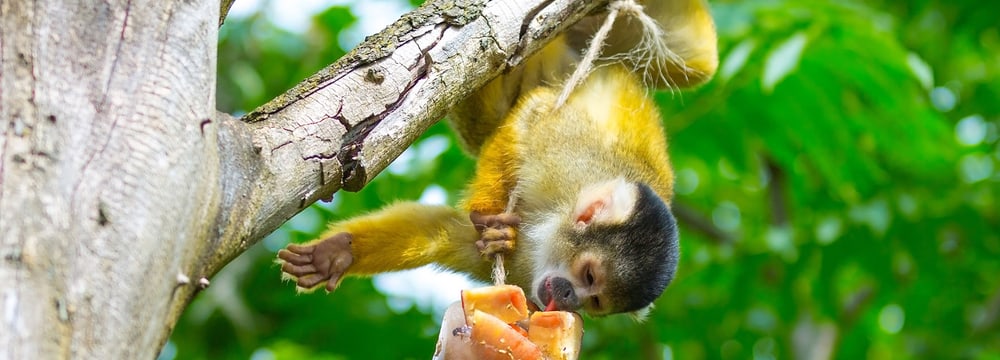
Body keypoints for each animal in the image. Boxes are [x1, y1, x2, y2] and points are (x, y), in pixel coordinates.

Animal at [280, 0, 720, 316]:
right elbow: (532, 115)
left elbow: (440, 231)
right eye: (588, 274)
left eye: (596, 301)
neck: (545, 230)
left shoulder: (526, 275)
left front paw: (337, 253)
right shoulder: (566, 160)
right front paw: (490, 220)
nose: (570, 300)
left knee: (694, 62)